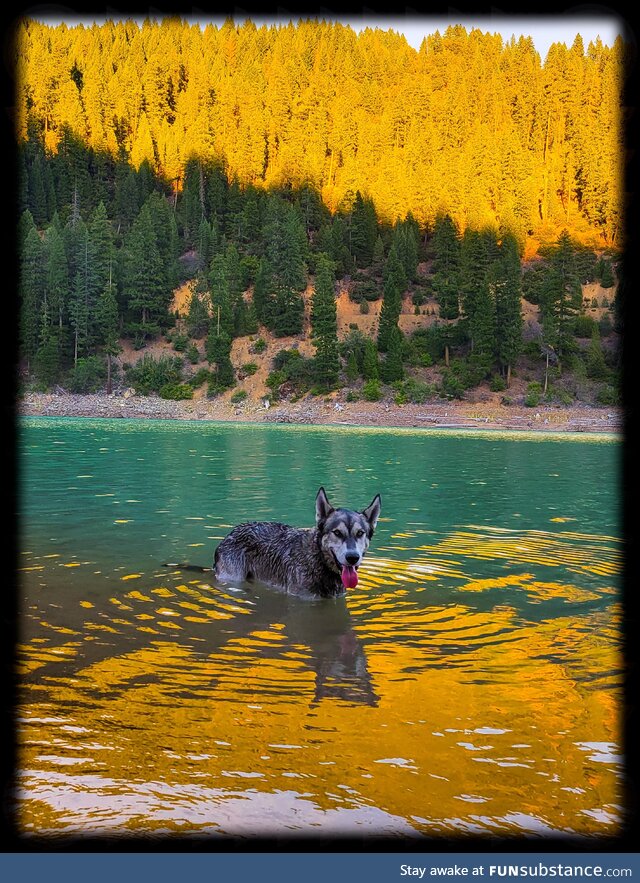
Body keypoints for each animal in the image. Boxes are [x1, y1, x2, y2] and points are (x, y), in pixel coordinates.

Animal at [212, 486, 380, 596]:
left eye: (360, 533)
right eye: (337, 533)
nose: (352, 557)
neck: (317, 561)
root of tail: (230, 533)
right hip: (234, 579)